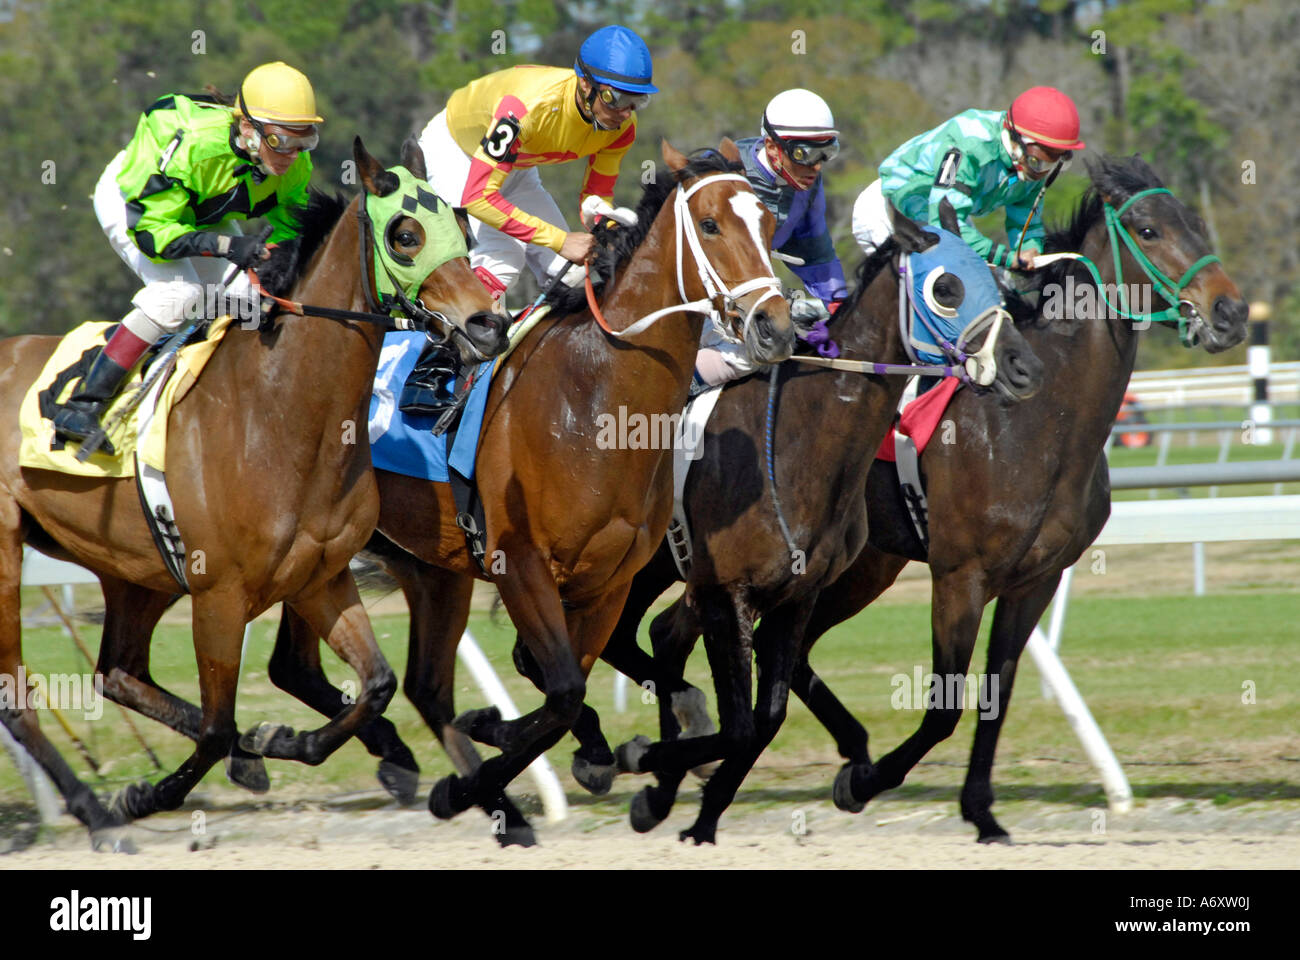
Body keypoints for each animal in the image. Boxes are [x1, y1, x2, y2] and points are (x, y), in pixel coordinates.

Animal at [0, 138, 506, 849]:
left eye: (463, 227)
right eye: (405, 235)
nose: (489, 325)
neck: (277, 414)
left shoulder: (320, 576)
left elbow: (374, 685)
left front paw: (289, 741)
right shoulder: (220, 596)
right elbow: (218, 726)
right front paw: (144, 795)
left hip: (133, 570)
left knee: (119, 671)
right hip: (10, 552)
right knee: (19, 698)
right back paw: (99, 814)